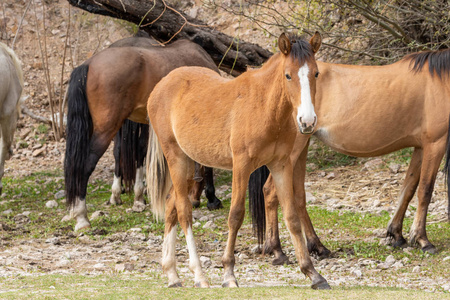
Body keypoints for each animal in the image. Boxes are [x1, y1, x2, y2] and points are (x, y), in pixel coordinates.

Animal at [64, 37, 222, 230]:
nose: (196, 200)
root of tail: (88, 64)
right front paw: (212, 198)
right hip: (106, 130)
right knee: (86, 166)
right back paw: (82, 217)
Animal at [148, 34, 330, 290]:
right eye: (288, 75)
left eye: (315, 73)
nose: (307, 121)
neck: (265, 107)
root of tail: (161, 85)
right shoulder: (242, 166)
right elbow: (235, 216)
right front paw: (228, 273)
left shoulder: (281, 165)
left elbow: (292, 217)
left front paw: (313, 273)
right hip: (175, 157)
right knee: (184, 210)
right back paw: (199, 275)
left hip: (188, 161)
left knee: (171, 203)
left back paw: (172, 273)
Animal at [248, 49, 450, 264]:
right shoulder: (435, 144)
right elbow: (425, 191)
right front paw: (422, 240)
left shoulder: (420, 147)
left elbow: (408, 189)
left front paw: (397, 234)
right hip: (292, 152)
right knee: (270, 191)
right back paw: (277, 250)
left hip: (301, 148)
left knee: (298, 196)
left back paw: (318, 247)